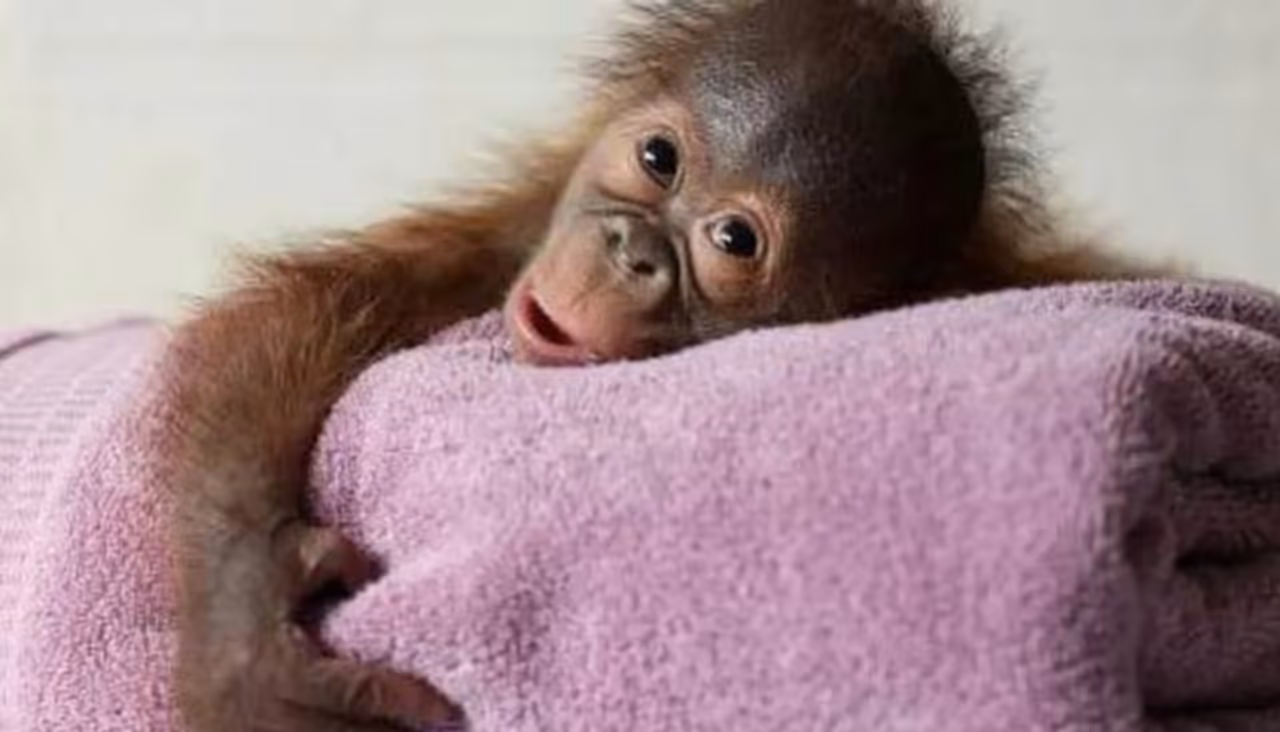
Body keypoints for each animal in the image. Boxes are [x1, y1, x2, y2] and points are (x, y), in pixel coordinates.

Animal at [162, 0, 1151, 730]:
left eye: (734, 240)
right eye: (658, 158)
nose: (630, 249)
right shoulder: (518, 233)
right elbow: (327, 302)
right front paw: (248, 630)